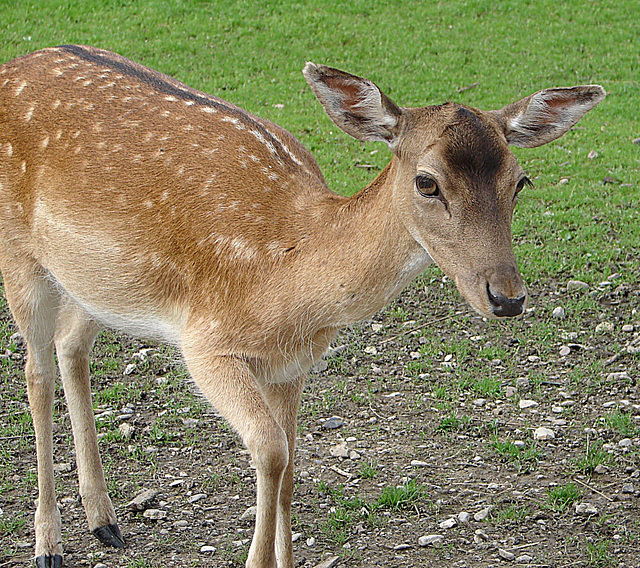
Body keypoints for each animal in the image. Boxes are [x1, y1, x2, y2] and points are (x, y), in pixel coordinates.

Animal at [0, 45, 604, 568]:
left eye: (520, 181)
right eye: (427, 182)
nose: (507, 296)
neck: (289, 282)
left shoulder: (291, 365)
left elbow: (291, 465)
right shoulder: (206, 343)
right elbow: (270, 451)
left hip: (95, 282)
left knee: (71, 345)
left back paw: (104, 520)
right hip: (22, 258)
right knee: (36, 371)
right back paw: (48, 544)